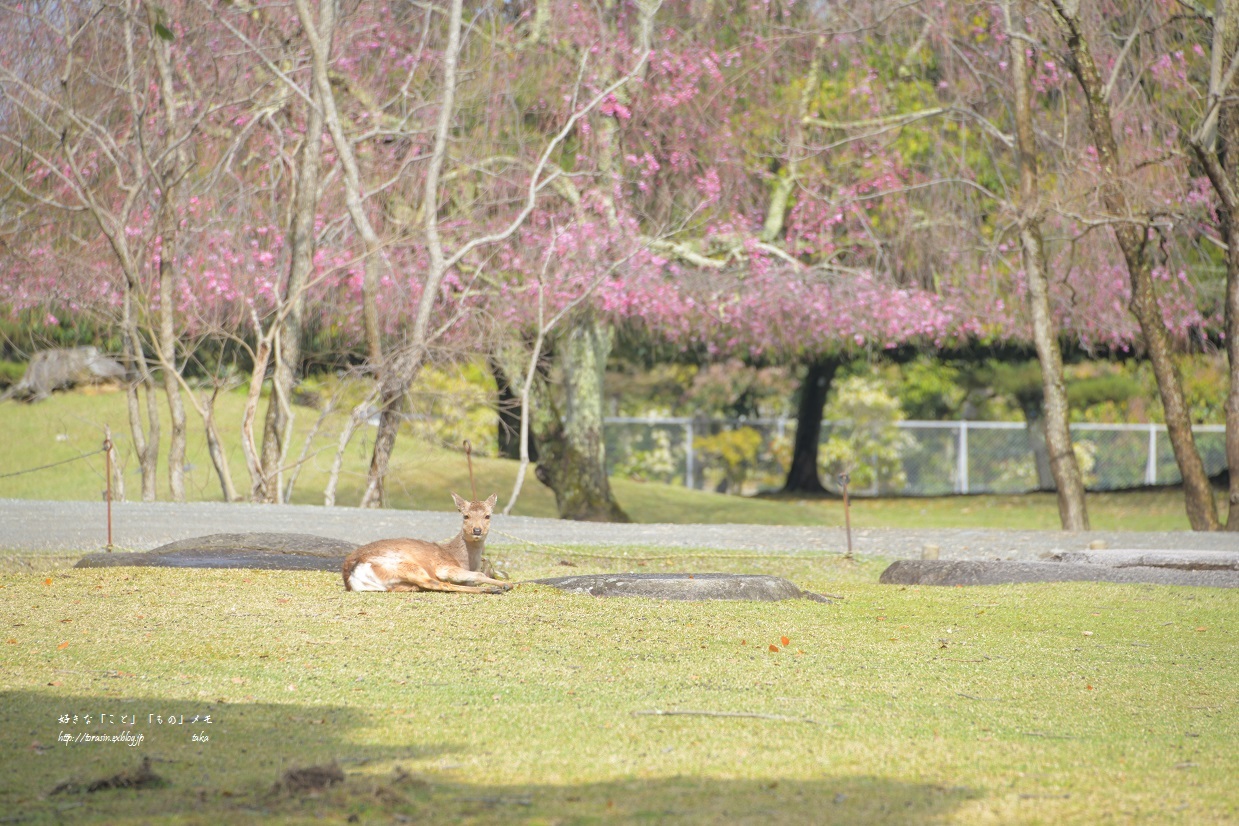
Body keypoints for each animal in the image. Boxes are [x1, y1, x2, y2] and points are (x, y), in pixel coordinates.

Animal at [341, 490, 510, 594]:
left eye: (488, 516)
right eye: (465, 516)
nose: (477, 530)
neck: (461, 559)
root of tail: (352, 574)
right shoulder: (443, 566)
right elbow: (478, 574)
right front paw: (505, 584)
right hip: (407, 566)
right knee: (438, 583)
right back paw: (493, 589)